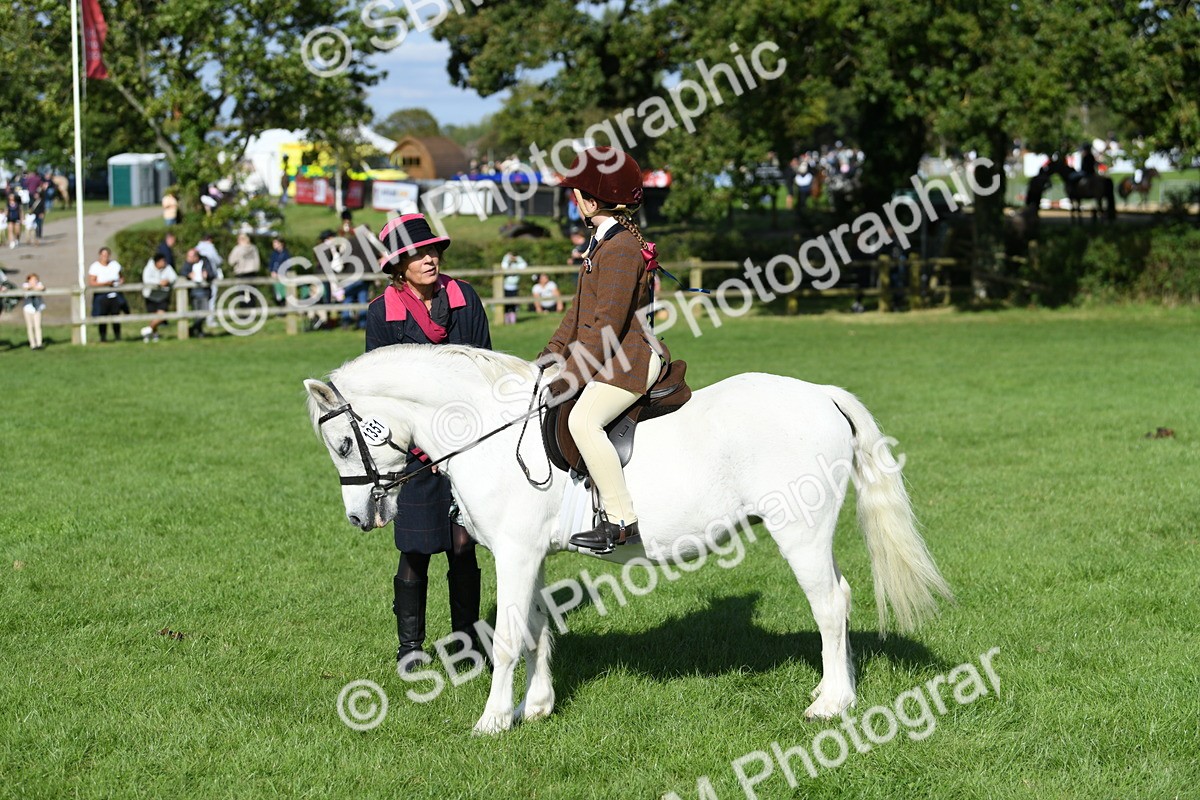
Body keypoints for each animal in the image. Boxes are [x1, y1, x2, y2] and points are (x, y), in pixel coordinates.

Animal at [304, 345, 953, 734]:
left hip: (801, 532)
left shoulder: (515, 554)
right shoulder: (533, 556)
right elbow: (537, 628)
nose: (359, 518)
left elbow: (510, 637)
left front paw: (493, 720)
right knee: (838, 600)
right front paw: (537, 707)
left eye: (342, 444)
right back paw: (832, 687)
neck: (488, 431)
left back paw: (831, 704)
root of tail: (821, 393)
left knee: (830, 604)